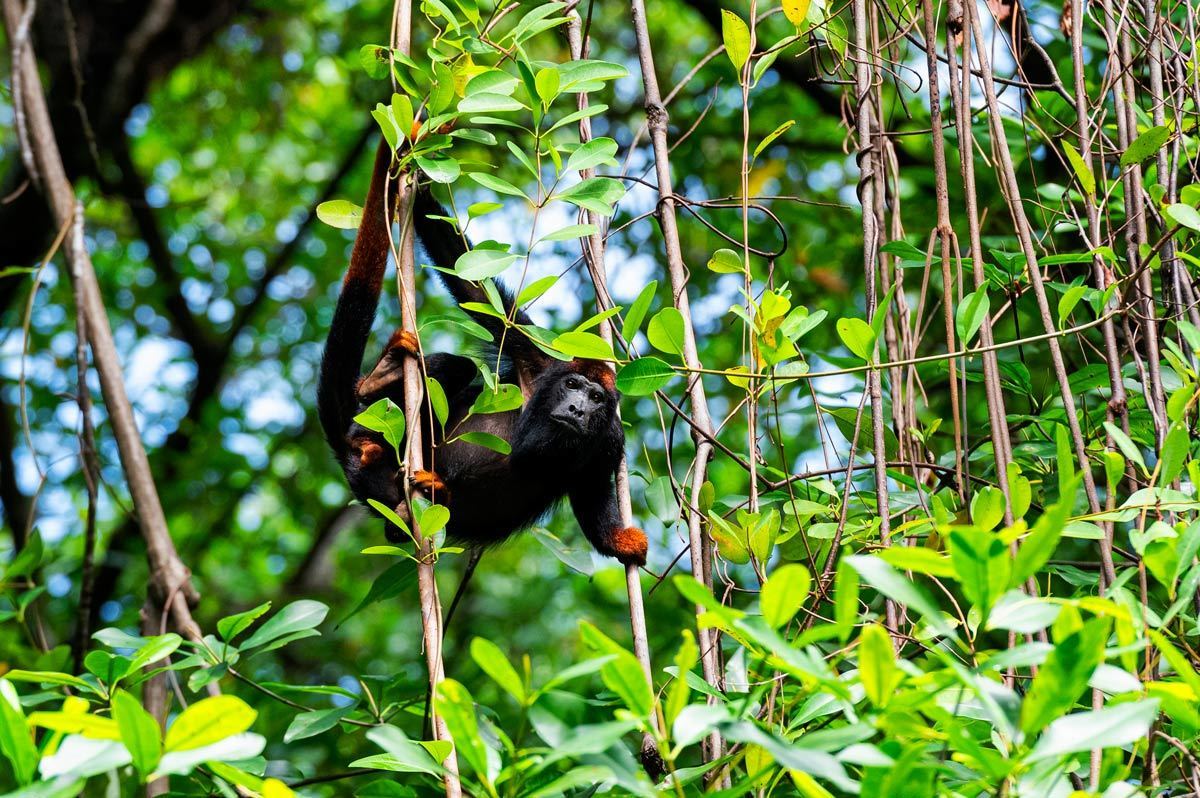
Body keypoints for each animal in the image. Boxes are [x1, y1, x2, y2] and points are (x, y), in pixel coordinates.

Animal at [317, 137, 647, 567]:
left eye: (596, 398)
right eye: (573, 386)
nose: (578, 409)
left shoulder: (609, 442)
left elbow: (593, 499)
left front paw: (623, 542)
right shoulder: (534, 357)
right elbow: (475, 289)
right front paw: (420, 182)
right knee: (454, 367)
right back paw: (381, 379)